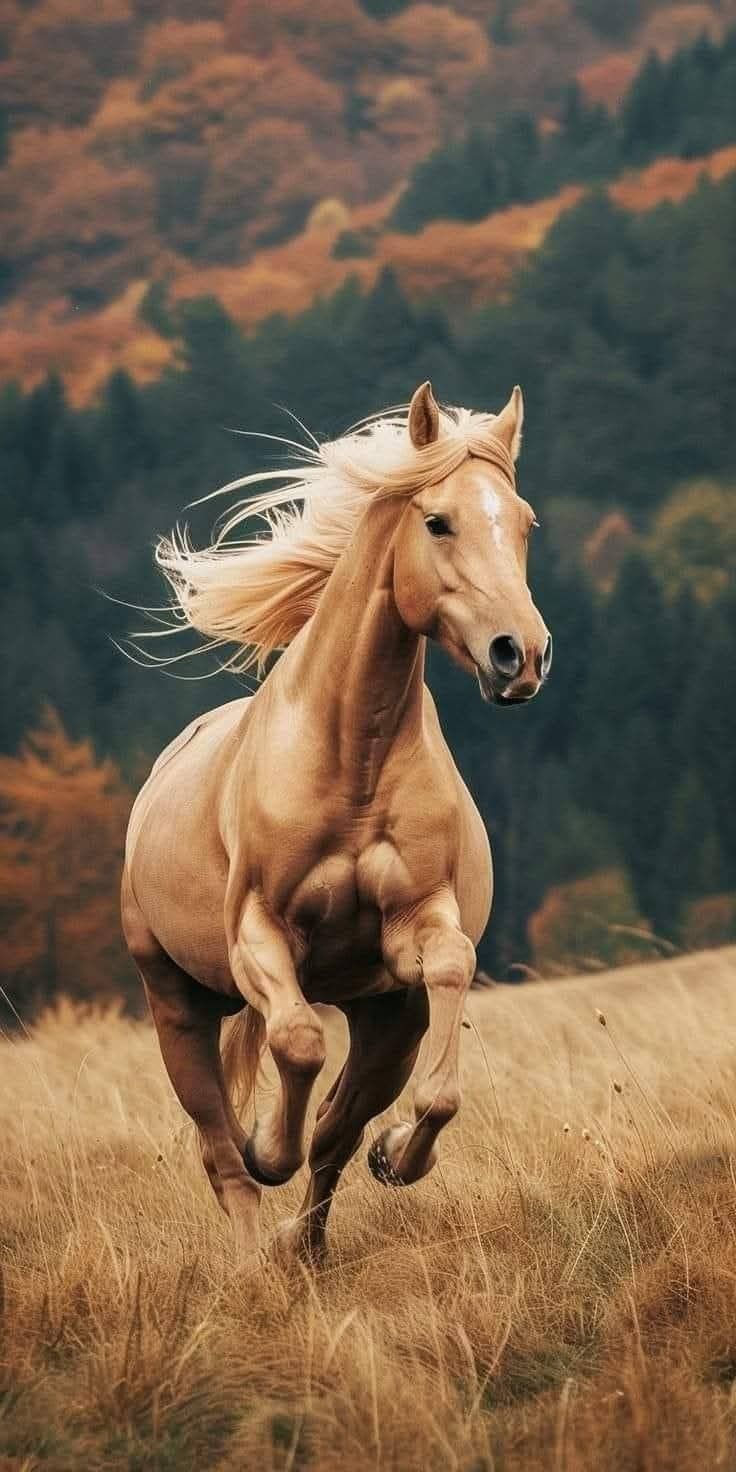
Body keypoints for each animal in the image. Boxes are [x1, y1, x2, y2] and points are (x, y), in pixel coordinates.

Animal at [121, 381, 552, 1265]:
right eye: (438, 522)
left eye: (525, 522)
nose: (520, 655)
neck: (351, 760)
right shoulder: (259, 933)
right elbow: (297, 1045)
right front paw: (268, 1143)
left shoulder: (416, 936)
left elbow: (438, 1035)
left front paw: (399, 1154)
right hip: (174, 1003)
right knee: (221, 1152)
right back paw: (257, 1247)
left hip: (386, 1018)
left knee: (337, 1133)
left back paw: (308, 1243)